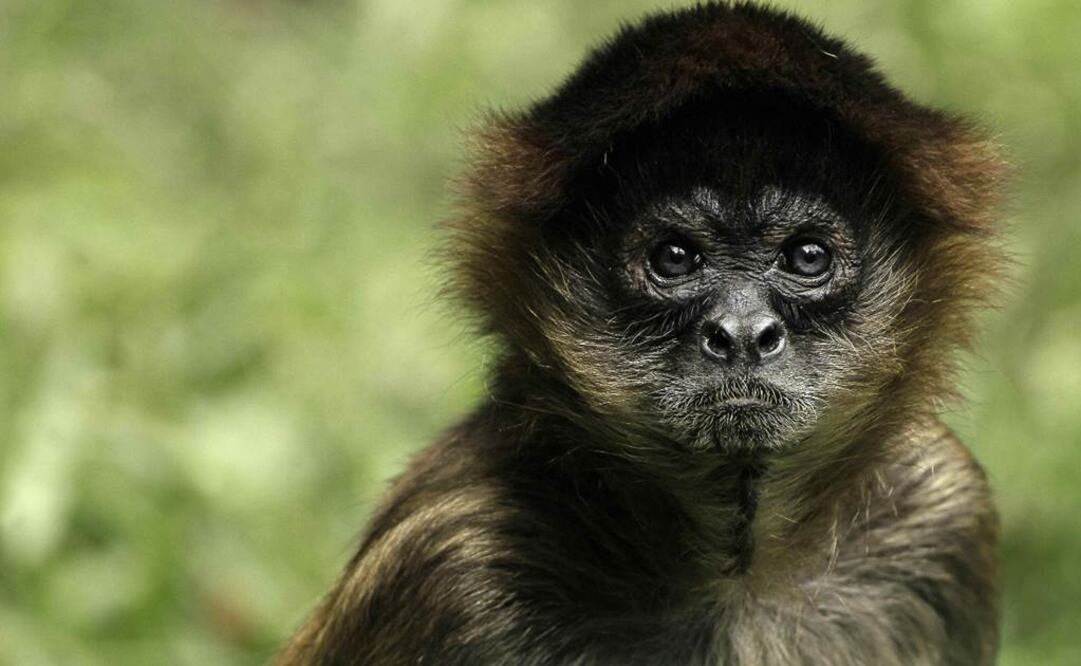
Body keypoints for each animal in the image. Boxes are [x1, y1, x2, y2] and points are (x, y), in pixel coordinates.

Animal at [277, 3, 1006, 665]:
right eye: (674, 258)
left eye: (805, 257)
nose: (742, 334)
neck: (735, 580)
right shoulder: (449, 561)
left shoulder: (940, 504)